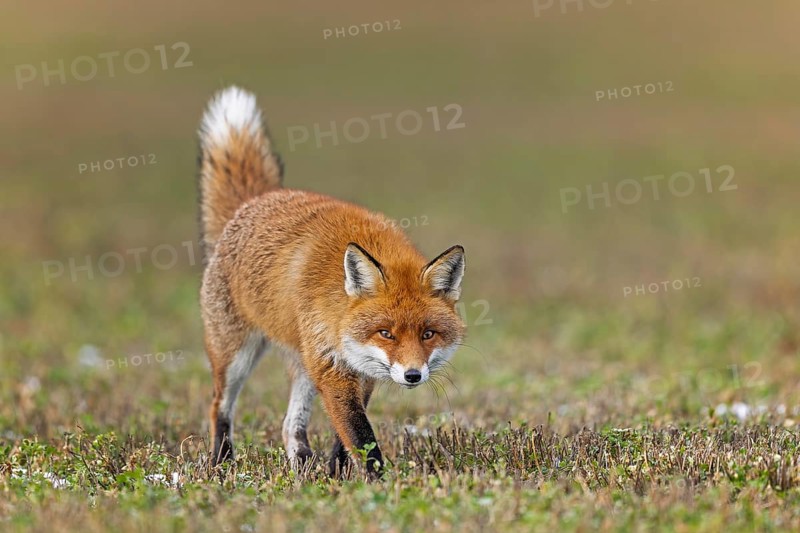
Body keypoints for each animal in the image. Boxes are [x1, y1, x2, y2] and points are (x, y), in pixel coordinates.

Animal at [197, 86, 466, 477]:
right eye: (386, 333)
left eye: (428, 334)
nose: (413, 376)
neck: (339, 312)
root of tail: (253, 203)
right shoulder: (332, 366)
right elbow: (360, 434)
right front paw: (378, 483)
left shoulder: (361, 369)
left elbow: (346, 436)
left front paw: (338, 476)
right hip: (236, 355)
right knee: (219, 406)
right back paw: (221, 462)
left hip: (302, 364)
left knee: (289, 424)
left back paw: (301, 467)